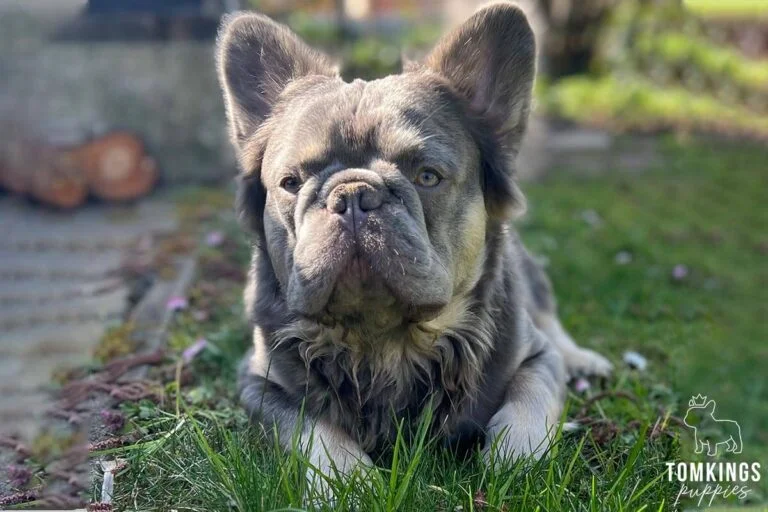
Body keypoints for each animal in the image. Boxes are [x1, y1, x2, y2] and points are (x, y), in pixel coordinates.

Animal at [216, 0, 612, 494]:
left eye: (427, 176)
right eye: (291, 183)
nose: (353, 195)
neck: (386, 342)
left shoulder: (538, 358)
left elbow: (530, 398)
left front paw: (517, 459)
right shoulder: (260, 384)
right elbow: (311, 426)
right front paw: (348, 479)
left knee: (552, 322)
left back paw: (585, 360)